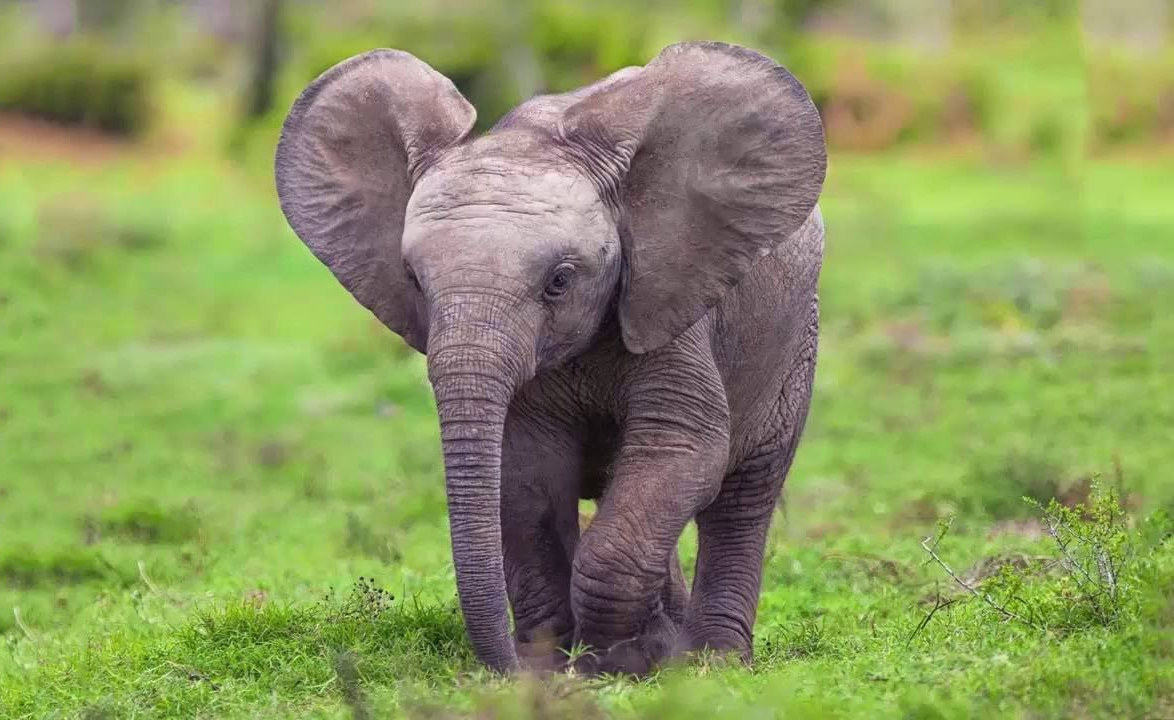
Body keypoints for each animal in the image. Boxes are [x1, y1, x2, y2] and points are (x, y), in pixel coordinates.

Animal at [274, 40, 826, 671]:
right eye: (414, 280)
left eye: (559, 281)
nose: (511, 668)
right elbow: (527, 473)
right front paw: (561, 664)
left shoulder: (671, 307)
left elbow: (682, 447)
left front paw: (620, 660)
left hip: (794, 336)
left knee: (743, 494)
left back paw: (715, 660)